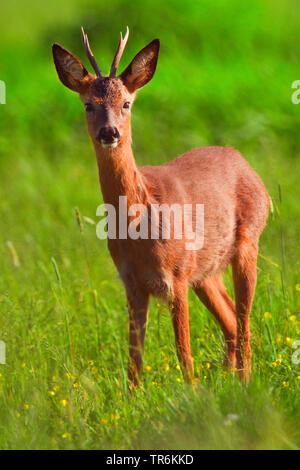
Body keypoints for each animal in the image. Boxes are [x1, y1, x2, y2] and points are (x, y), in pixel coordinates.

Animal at [52, 26, 270, 386]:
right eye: (88, 105)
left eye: (126, 103)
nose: (109, 132)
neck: (140, 224)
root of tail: (246, 165)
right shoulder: (132, 283)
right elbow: (134, 361)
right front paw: (133, 397)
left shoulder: (176, 276)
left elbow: (183, 353)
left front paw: (192, 392)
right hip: (206, 272)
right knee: (230, 320)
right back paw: (228, 380)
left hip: (246, 245)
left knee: (244, 322)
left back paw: (245, 382)